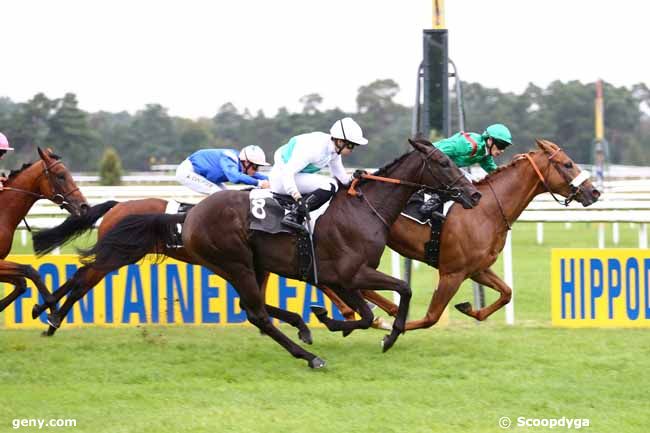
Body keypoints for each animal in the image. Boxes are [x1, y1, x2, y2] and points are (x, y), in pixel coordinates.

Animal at [69, 139, 480, 368]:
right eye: (443, 162)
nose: (474, 195)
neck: (364, 209)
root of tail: (189, 216)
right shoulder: (350, 273)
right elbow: (402, 291)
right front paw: (388, 336)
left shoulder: (339, 279)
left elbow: (365, 315)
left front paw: (329, 320)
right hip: (235, 263)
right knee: (258, 315)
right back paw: (310, 357)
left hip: (250, 264)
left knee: (254, 309)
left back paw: (303, 331)